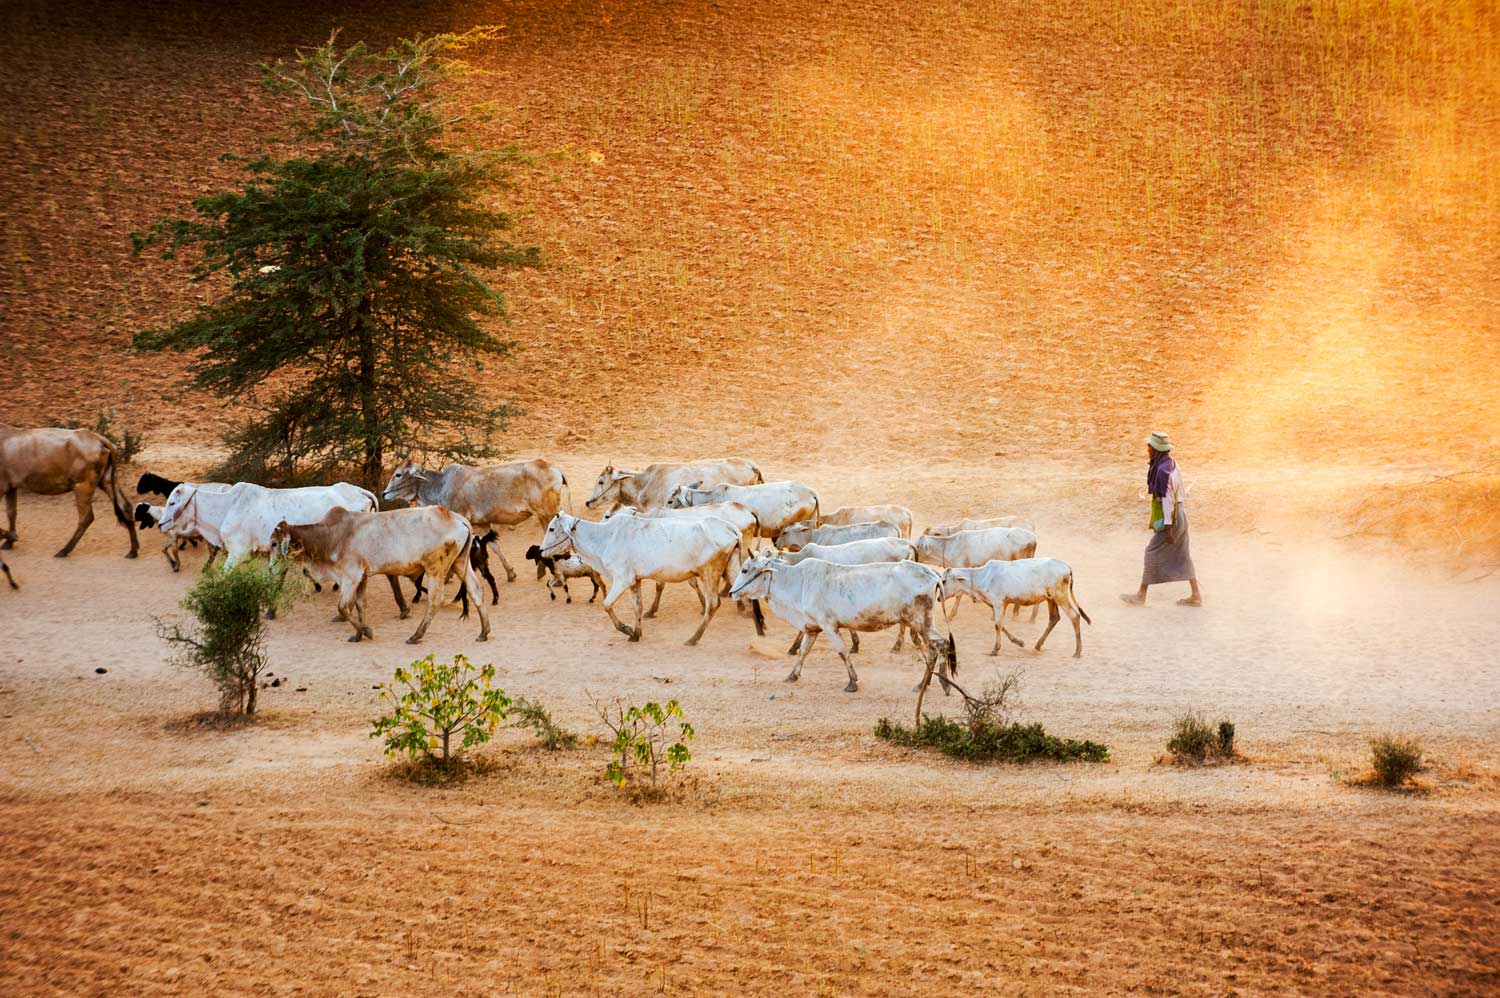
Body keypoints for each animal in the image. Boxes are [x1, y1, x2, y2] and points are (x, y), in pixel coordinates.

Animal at [1, 420, 138, 555]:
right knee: (125, 506)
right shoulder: (11, 487)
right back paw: (133, 550)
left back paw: (64, 550)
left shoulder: (2, 488)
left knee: (86, 518)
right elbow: (11, 513)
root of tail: (98, 438)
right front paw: (9, 541)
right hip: (107, 481)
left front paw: (11, 537)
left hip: (83, 486)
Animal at [543, 510, 747, 642]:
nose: (541, 550)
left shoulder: (622, 579)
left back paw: (693, 638)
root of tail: (729, 527)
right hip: (731, 570)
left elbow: (606, 605)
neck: (605, 537)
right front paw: (636, 633)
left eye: (552, 529)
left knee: (712, 604)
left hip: (710, 573)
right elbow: (638, 608)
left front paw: (626, 629)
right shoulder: (635, 581)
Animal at [729, 546, 960, 693]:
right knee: (933, 648)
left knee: (941, 644)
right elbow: (803, 652)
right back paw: (923, 685)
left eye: (745, 569)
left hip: (921, 622)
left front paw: (852, 682)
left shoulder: (829, 626)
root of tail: (930, 572)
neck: (796, 581)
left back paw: (943, 684)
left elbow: (842, 652)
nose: (731, 592)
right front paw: (792, 676)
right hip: (922, 624)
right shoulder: (812, 628)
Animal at [936, 555, 1092, 657]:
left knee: (1074, 616)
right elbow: (1000, 624)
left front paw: (995, 649)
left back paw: (1077, 651)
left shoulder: (998, 603)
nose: (938, 598)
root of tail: (1066, 566)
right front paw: (1019, 642)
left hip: (1060, 596)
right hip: (1051, 599)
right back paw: (1037, 646)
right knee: (1054, 618)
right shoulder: (998, 604)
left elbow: (997, 625)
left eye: (944, 581)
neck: (981, 577)